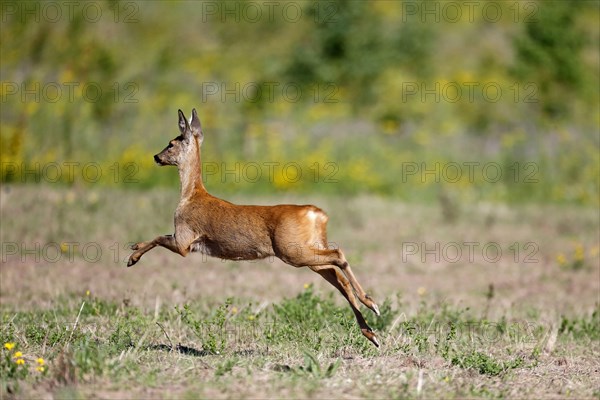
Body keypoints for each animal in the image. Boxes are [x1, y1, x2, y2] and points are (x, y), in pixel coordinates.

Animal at [126, 108, 380, 346]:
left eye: (171, 144)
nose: (156, 156)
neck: (191, 195)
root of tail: (317, 214)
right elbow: (159, 235)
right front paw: (134, 249)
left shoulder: (184, 240)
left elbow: (159, 237)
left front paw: (132, 257)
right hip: (307, 250)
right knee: (339, 278)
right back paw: (371, 332)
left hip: (292, 250)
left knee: (339, 255)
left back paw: (372, 304)